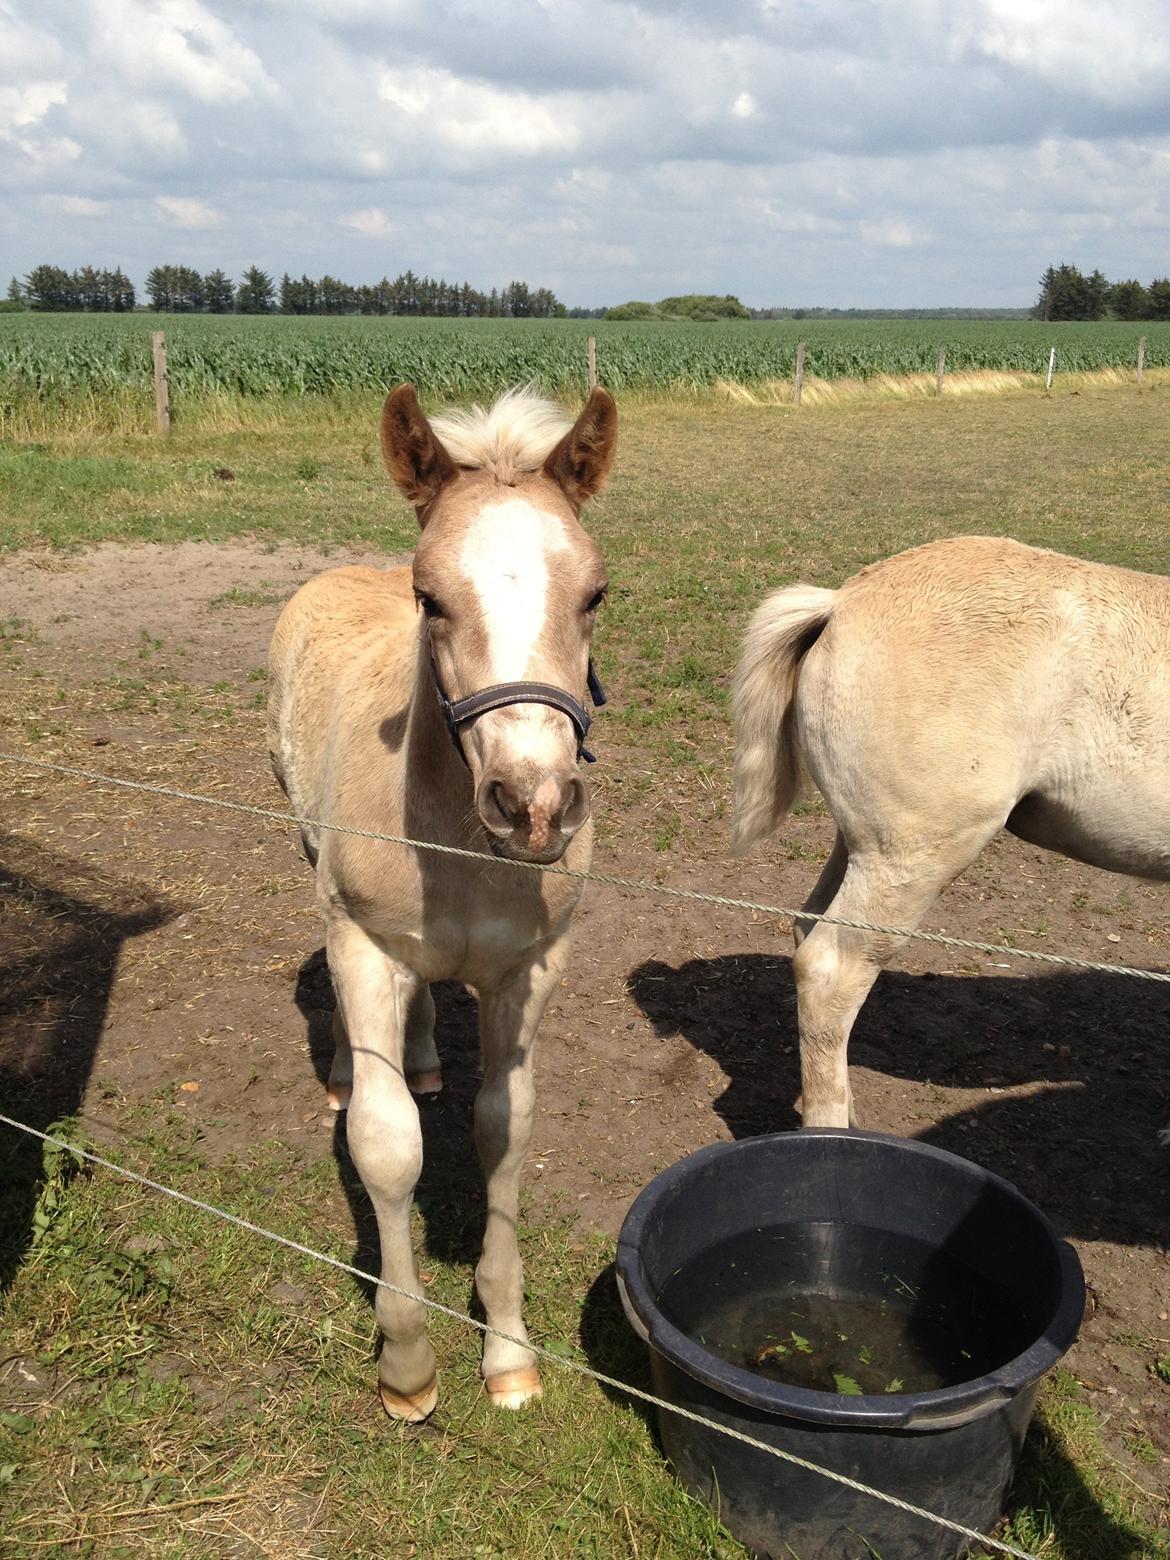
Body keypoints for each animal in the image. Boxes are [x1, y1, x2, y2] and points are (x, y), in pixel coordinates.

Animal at [269, 383, 617, 1422]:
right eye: (430, 597)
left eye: (596, 594)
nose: (533, 804)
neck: (460, 840)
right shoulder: (366, 942)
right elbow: (387, 1145)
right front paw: (408, 1366)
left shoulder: (527, 968)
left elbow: (504, 1128)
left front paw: (507, 1351)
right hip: (315, 868)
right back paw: (352, 1067)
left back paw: (421, 1056)